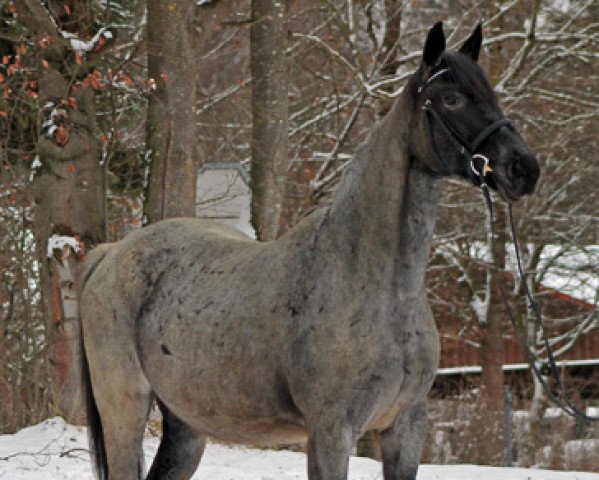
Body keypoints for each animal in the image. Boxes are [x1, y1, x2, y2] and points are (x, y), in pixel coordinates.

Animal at [77, 22, 540, 480]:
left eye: (491, 93)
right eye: (451, 98)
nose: (524, 168)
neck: (377, 286)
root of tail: (111, 254)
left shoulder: (406, 427)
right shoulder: (331, 431)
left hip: (187, 423)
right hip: (125, 407)